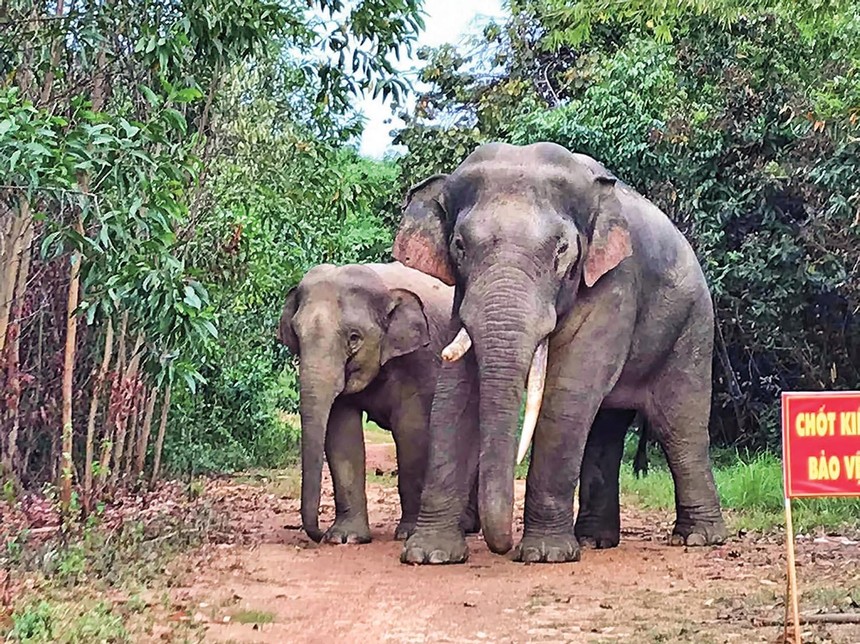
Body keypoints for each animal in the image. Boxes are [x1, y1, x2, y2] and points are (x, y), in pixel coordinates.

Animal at [278, 262, 480, 544]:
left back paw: (466, 525)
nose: (319, 534)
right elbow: (342, 435)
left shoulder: (421, 361)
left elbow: (413, 433)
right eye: (296, 334)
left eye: (354, 337)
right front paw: (345, 538)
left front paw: (407, 533)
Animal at [394, 142, 724, 564]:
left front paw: (544, 555)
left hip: (693, 325)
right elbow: (455, 394)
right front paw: (429, 555)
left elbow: (568, 391)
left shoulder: (614, 283)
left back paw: (698, 538)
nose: (501, 547)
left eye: (561, 250)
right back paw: (594, 540)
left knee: (680, 424)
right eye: (459, 247)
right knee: (606, 429)